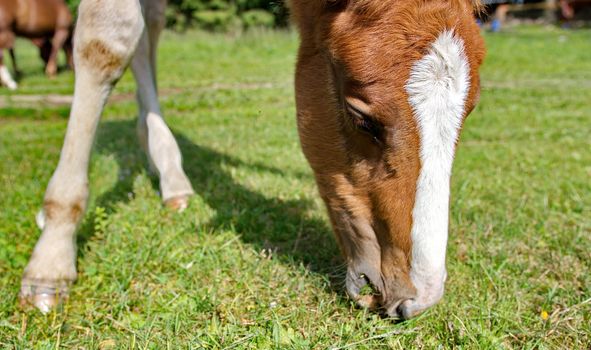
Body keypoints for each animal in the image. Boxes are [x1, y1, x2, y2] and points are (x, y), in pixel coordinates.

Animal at [22, 0, 486, 320]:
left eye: (469, 113)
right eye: (362, 118)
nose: (417, 298)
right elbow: (107, 40)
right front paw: (52, 257)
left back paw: (169, 172)